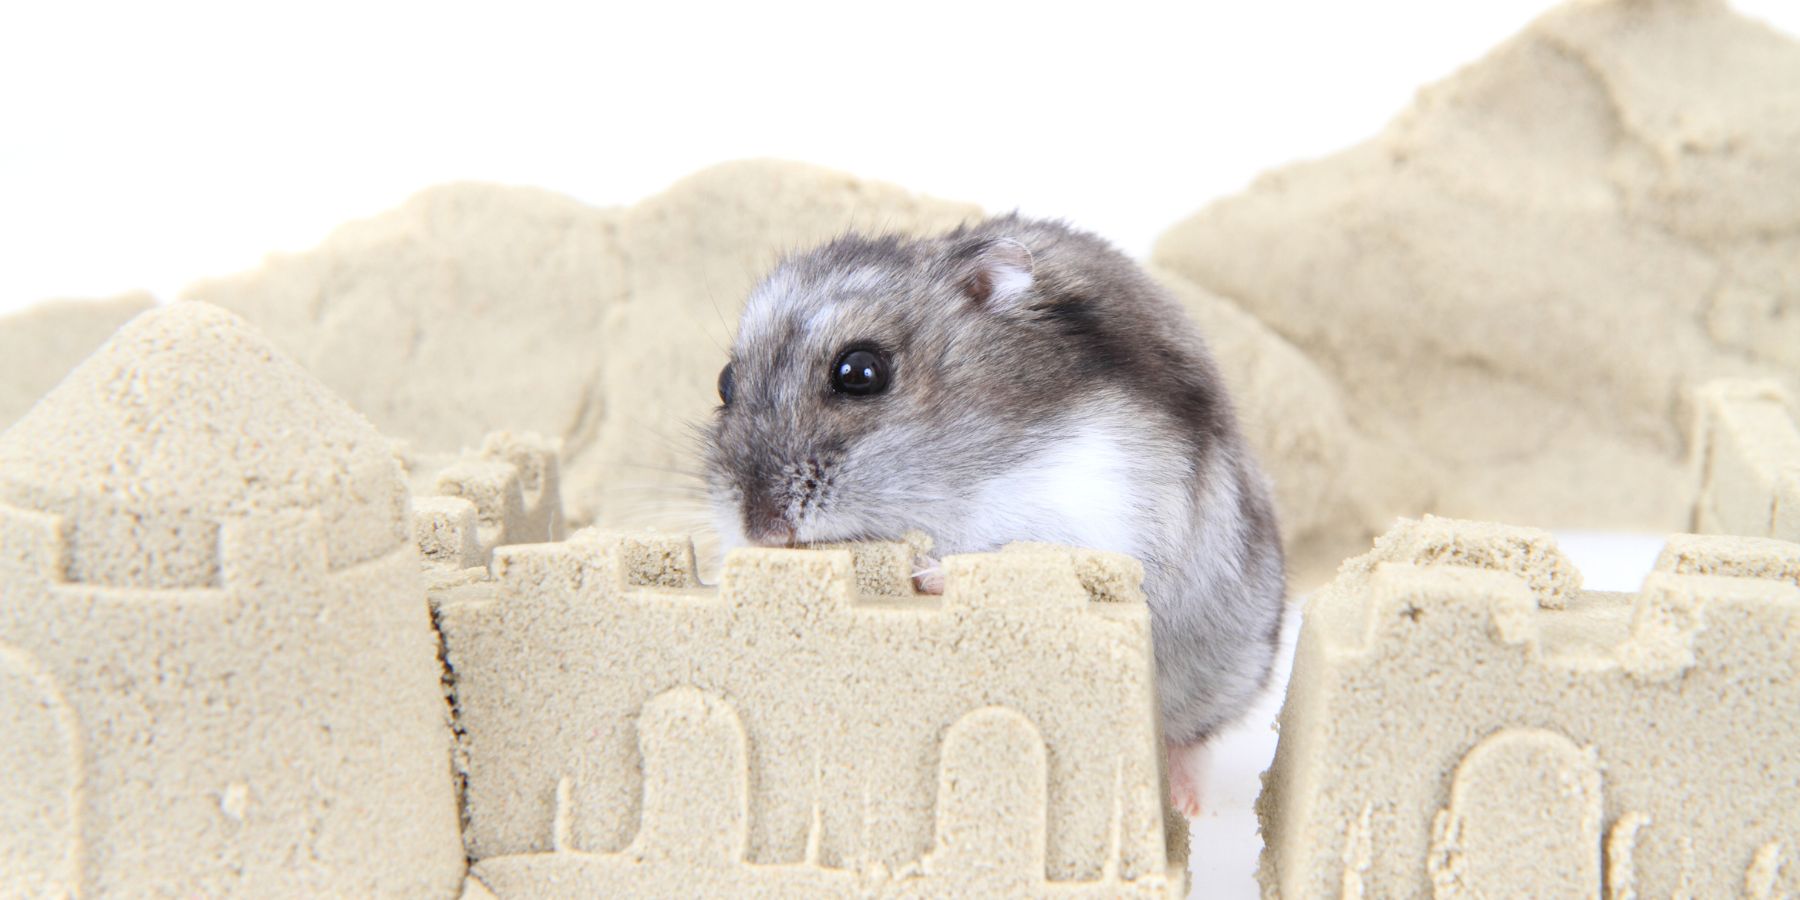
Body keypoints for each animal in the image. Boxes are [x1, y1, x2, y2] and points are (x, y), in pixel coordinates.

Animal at [702, 214, 1286, 816]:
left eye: (860, 372)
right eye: (724, 382)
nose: (762, 529)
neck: (955, 483)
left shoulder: (1097, 513)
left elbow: (1024, 556)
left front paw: (925, 572)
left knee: (1191, 736)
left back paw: (1185, 800)